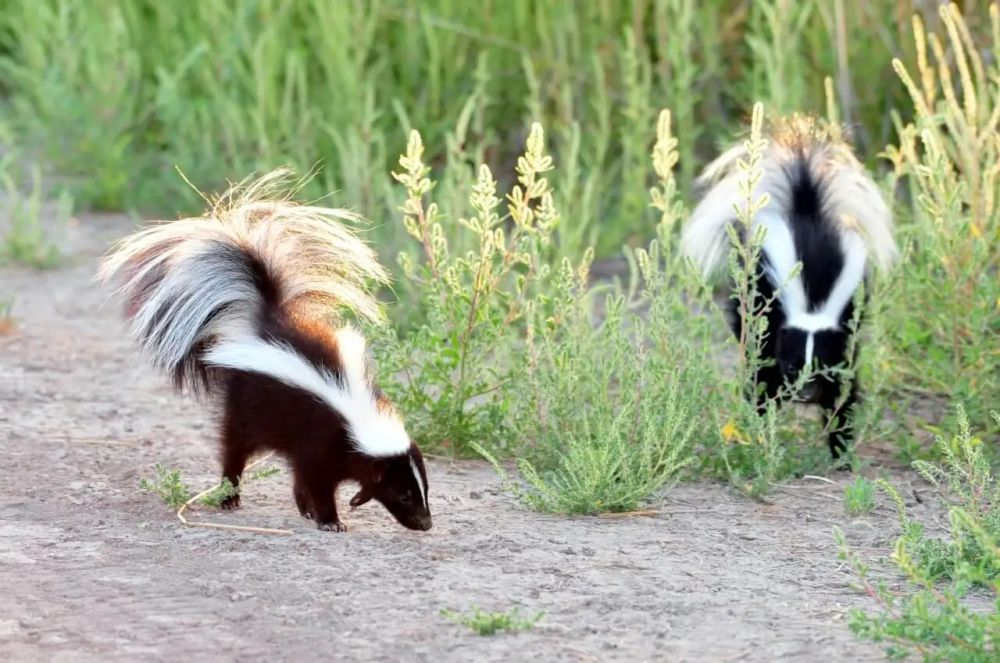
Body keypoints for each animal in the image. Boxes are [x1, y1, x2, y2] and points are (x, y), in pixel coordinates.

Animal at [98, 172, 434, 536]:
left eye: (424, 489)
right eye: (403, 495)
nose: (426, 523)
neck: (357, 414)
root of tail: (261, 321)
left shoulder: (321, 448)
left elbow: (314, 476)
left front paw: (350, 501)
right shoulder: (321, 442)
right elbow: (317, 482)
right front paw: (330, 519)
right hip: (245, 407)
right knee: (234, 450)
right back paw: (230, 497)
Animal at [680, 116, 900, 462]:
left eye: (820, 365)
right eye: (794, 364)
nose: (805, 393)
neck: (813, 304)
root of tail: (804, 208)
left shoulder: (845, 336)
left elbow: (843, 390)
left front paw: (840, 448)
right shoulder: (773, 324)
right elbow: (764, 378)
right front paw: (761, 424)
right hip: (750, 287)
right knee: (743, 324)